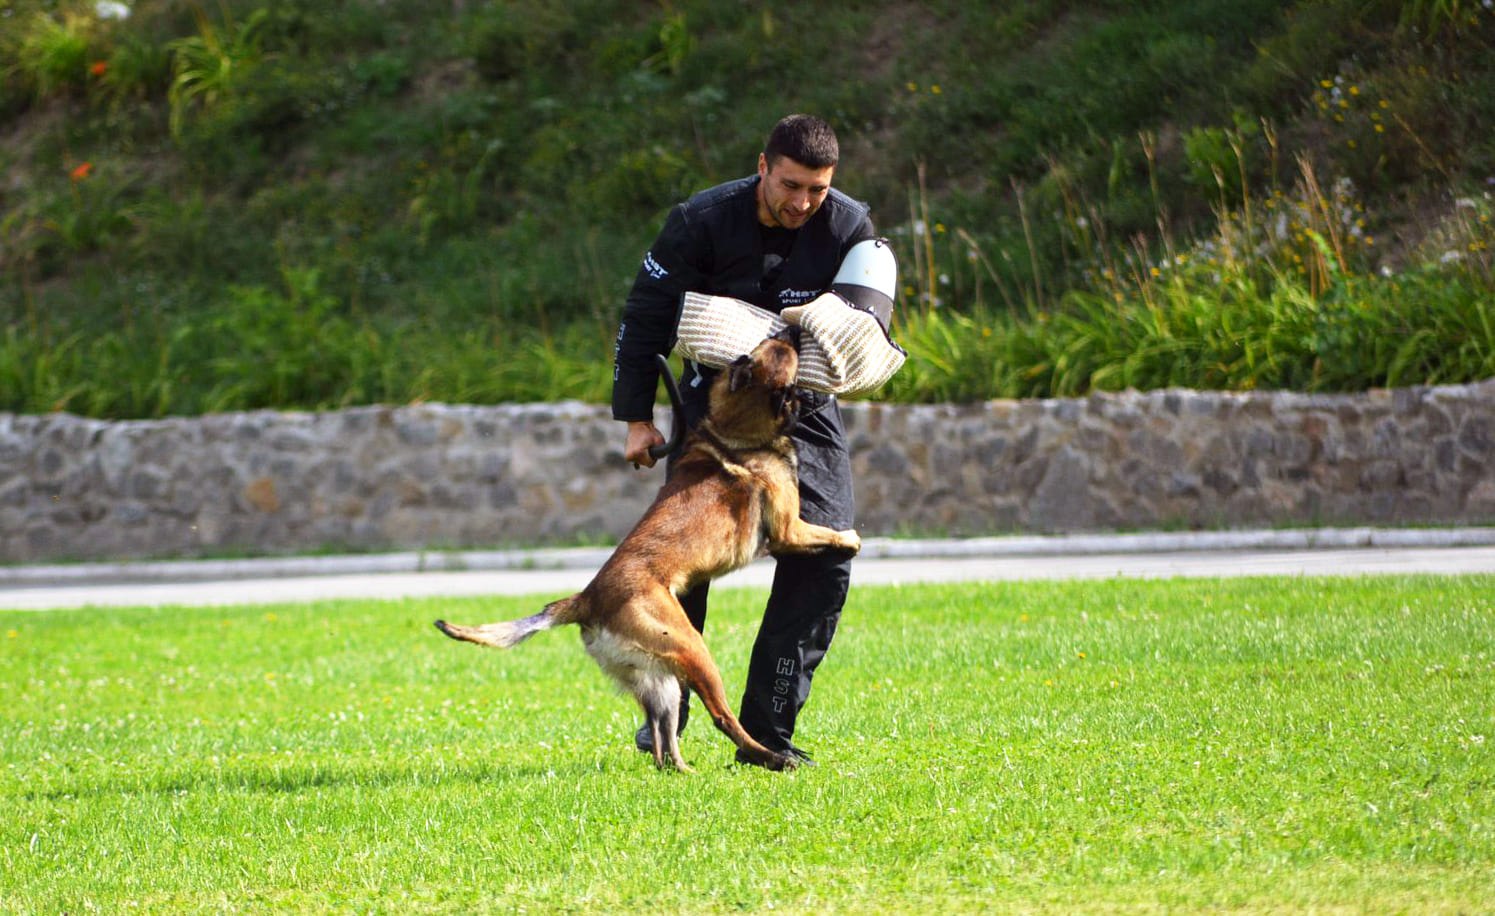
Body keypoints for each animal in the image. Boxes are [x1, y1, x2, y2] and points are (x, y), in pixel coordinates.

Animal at [433, 325, 861, 765]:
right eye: (781, 349)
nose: (793, 327)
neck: (736, 431)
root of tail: (585, 598)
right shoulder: (788, 530)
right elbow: (829, 534)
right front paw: (850, 539)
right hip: (693, 649)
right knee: (721, 719)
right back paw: (774, 758)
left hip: (660, 680)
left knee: (662, 744)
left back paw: (689, 772)